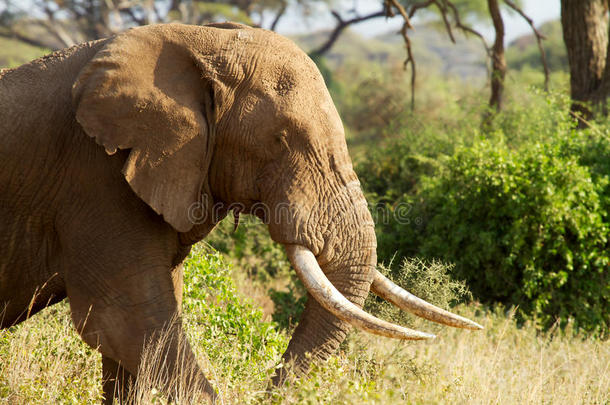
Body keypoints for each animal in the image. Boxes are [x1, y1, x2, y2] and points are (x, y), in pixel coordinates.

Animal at [0, 22, 482, 404]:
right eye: (280, 140)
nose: (268, 389)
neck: (201, 42)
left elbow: (132, 349)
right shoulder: (94, 178)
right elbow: (129, 323)